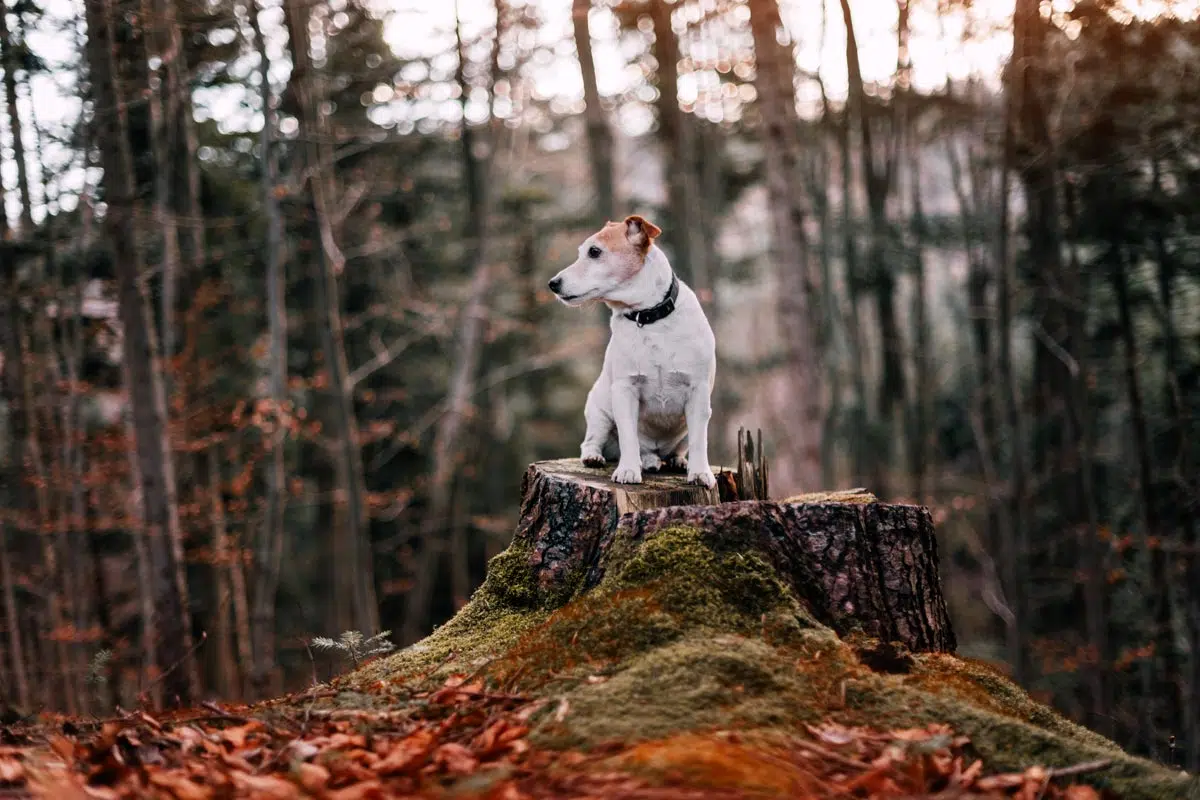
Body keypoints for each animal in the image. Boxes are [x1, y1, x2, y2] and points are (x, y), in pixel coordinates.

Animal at [549, 215, 715, 489]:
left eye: (594, 252)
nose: (552, 283)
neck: (647, 317)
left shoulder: (698, 393)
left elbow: (699, 441)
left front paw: (700, 473)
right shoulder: (624, 391)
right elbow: (628, 437)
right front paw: (627, 470)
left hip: (680, 433)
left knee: (675, 449)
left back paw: (672, 461)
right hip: (600, 411)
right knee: (594, 441)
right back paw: (605, 458)